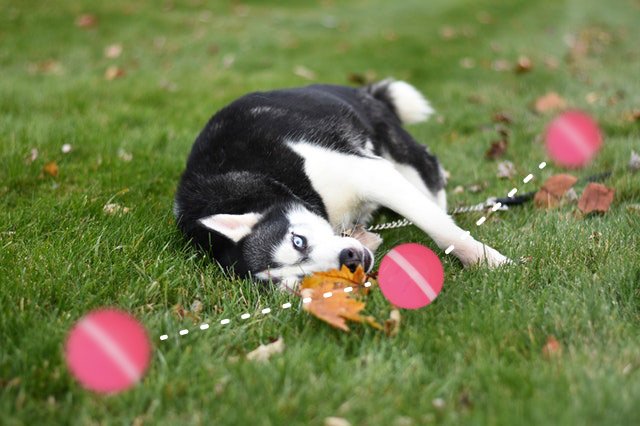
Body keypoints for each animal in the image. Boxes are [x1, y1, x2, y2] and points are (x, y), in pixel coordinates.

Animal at [175, 79, 510, 290]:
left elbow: (440, 229)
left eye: (298, 241)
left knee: (428, 168)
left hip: (391, 144)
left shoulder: (369, 172)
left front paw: (486, 261)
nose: (348, 259)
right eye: (303, 280)